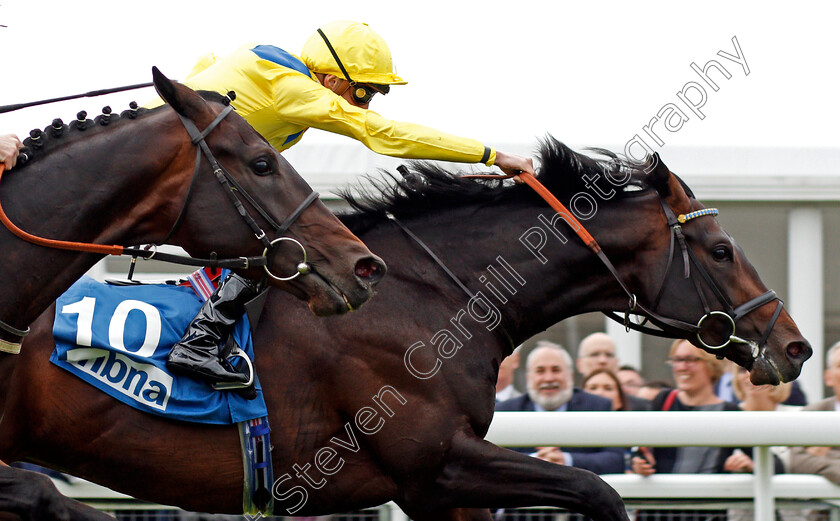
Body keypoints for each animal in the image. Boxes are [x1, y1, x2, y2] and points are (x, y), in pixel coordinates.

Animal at [3, 138, 812, 520]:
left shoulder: (437, 489)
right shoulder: (434, 461)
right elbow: (600, 492)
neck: (430, 298)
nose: (796, 345)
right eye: (720, 250)